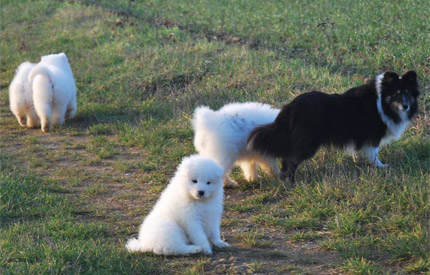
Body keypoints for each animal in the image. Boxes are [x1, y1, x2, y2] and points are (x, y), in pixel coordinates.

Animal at [247, 71, 418, 183]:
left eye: (408, 92)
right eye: (396, 93)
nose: (406, 106)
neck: (381, 102)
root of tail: (292, 106)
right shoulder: (373, 136)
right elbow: (374, 153)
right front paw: (381, 166)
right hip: (308, 142)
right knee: (291, 159)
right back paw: (291, 181)